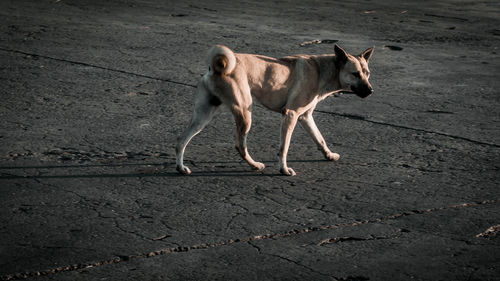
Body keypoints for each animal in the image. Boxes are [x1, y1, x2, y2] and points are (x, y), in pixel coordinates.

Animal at [176, 43, 376, 175]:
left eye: (367, 74)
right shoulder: (291, 115)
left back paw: (180, 167)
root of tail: (218, 68)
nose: (371, 91)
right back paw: (255, 165)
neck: (321, 71)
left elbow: (320, 139)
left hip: (203, 116)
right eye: (355, 74)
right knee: (240, 145)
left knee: (181, 140)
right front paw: (284, 169)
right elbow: (284, 147)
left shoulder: (305, 117)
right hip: (245, 114)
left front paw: (329, 155)